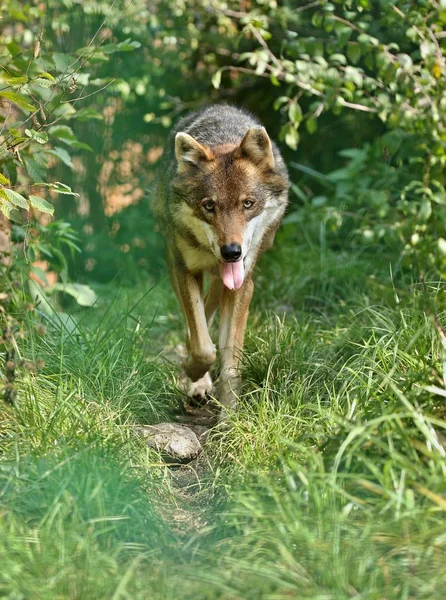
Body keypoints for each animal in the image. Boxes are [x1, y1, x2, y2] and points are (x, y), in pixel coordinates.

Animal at [154, 104, 290, 422]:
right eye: (209, 206)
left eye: (248, 204)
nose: (231, 252)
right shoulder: (184, 270)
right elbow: (203, 346)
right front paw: (193, 372)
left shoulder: (242, 285)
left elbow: (230, 364)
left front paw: (229, 418)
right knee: (197, 325)